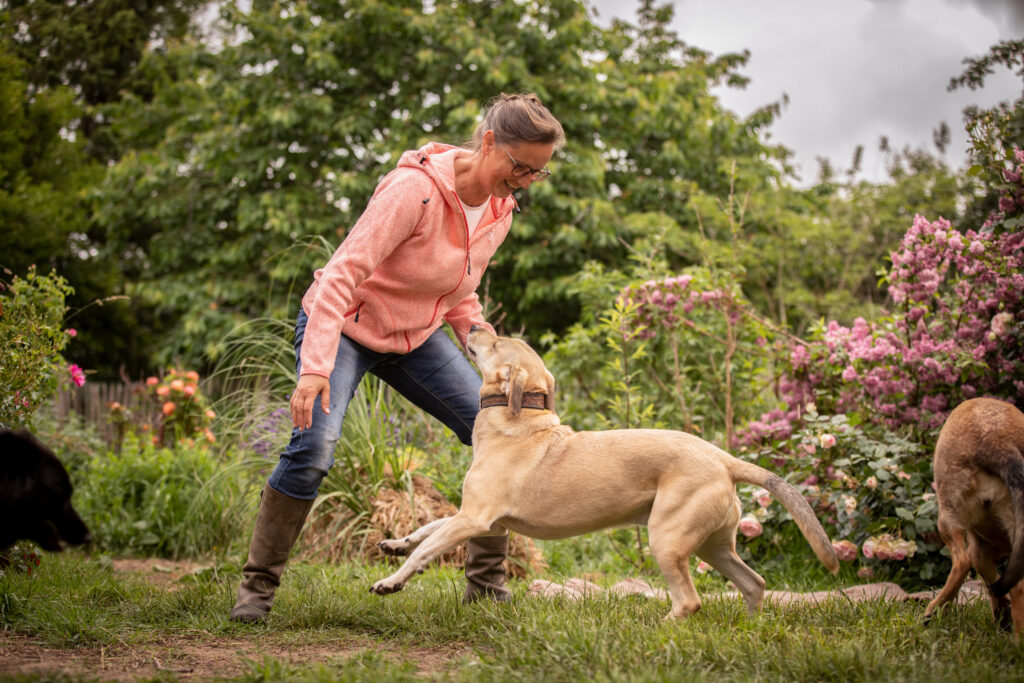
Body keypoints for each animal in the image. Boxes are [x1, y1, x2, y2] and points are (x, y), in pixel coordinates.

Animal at [372, 327, 835, 618]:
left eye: (497, 340)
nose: (470, 326)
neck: (519, 420)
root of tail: (724, 458)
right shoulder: (476, 517)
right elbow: (428, 528)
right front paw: (396, 542)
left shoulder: (476, 517)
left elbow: (425, 550)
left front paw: (391, 581)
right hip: (712, 545)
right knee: (753, 583)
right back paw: (751, 625)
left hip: (668, 540)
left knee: (690, 601)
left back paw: (662, 627)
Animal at [925, 397, 1024, 634]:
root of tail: (998, 441)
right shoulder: (984, 551)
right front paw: (1003, 615)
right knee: (1018, 586)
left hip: (946, 518)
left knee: (961, 562)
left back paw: (933, 611)